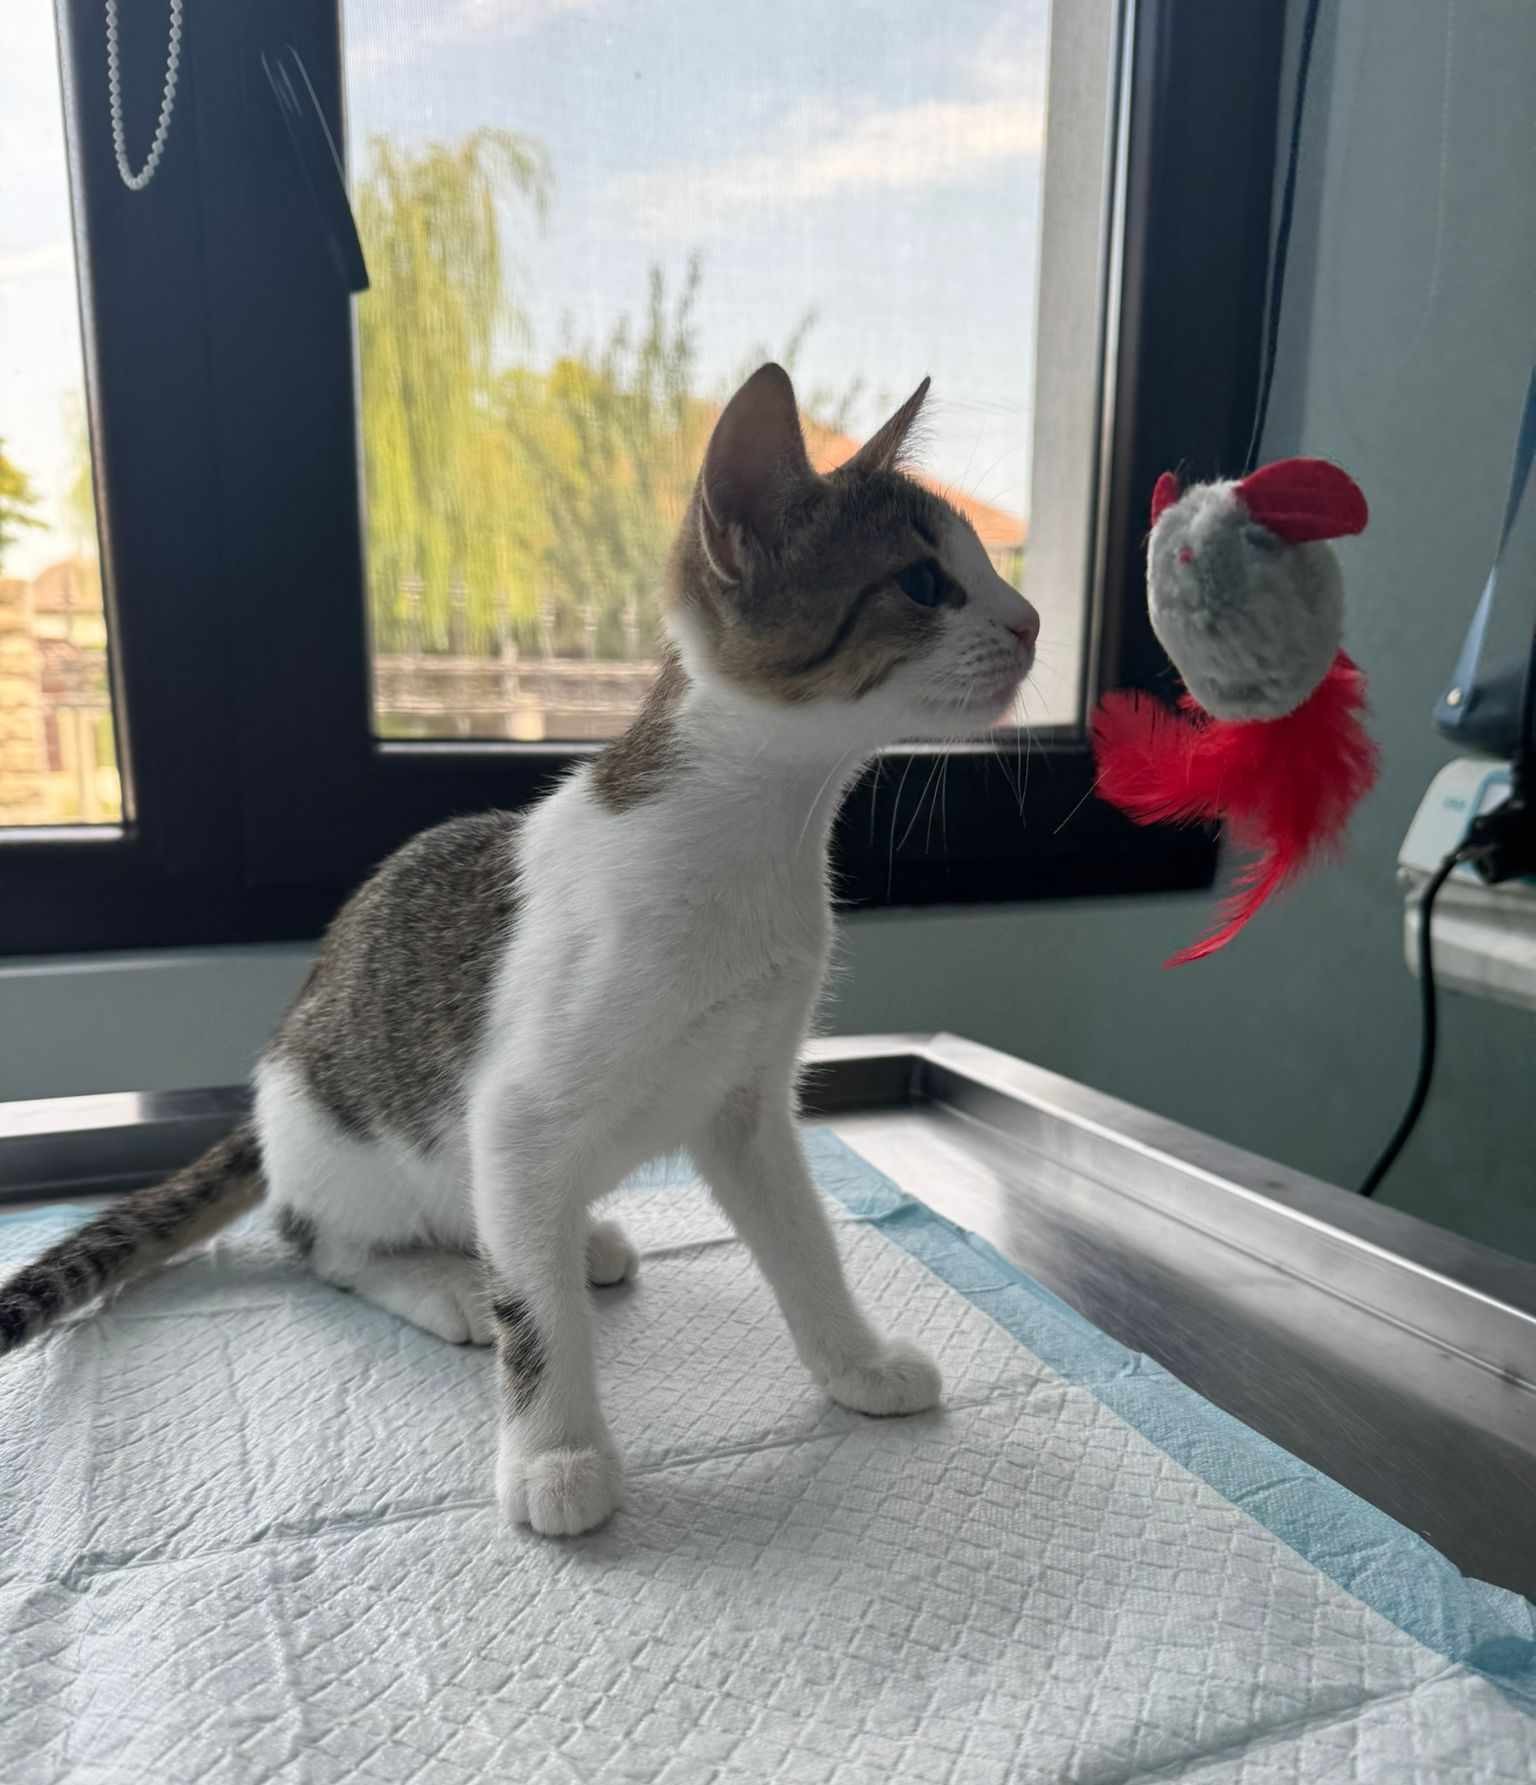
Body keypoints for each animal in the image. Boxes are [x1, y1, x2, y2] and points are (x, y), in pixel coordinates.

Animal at [0, 364, 1039, 1537]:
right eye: (924, 583)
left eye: (983, 567)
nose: (1033, 622)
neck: (760, 839)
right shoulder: (515, 1111)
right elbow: (536, 1316)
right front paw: (557, 1451)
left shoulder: (748, 1104)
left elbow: (804, 1240)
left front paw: (853, 1362)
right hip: (346, 1138)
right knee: (321, 1240)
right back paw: (445, 1282)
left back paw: (568, 1242)